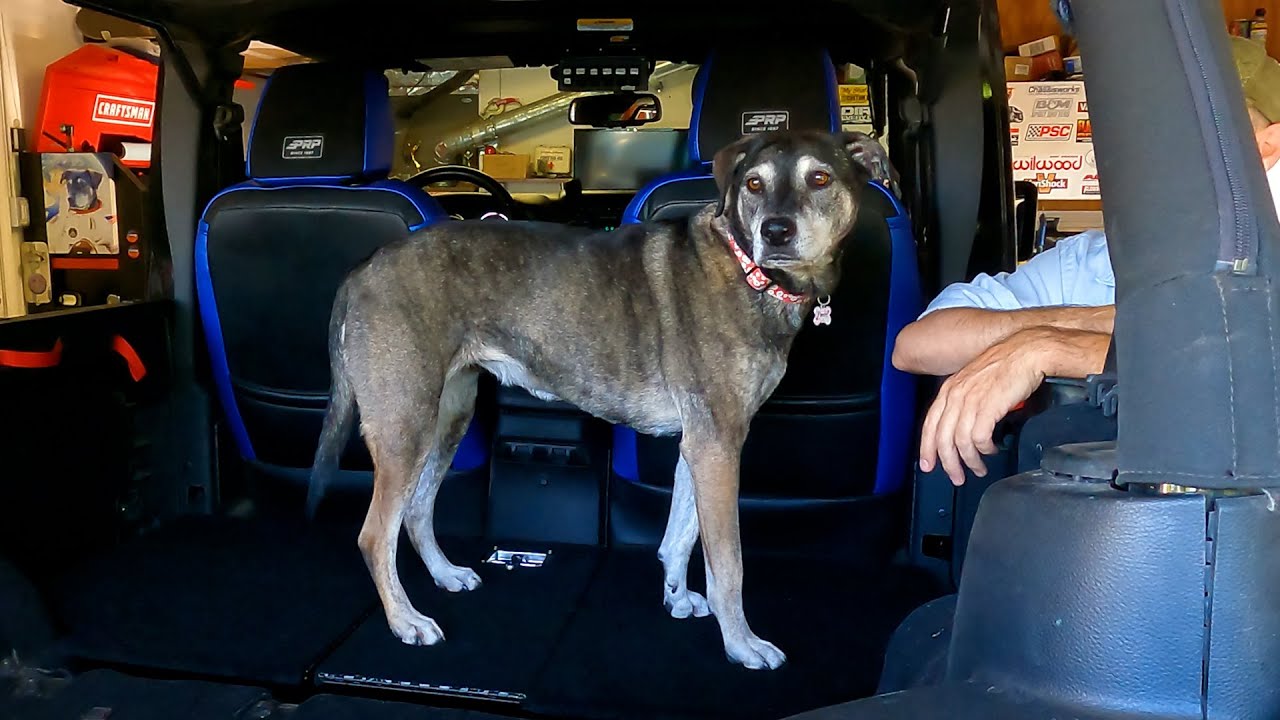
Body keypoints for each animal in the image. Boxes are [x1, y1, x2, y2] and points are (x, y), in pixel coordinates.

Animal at [308, 127, 896, 666]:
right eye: (754, 183)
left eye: (819, 179)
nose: (775, 232)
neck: (747, 269)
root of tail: (362, 270)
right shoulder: (720, 443)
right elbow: (728, 562)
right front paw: (741, 644)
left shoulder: (702, 444)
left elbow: (679, 533)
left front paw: (677, 598)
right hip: (404, 423)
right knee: (374, 535)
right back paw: (405, 619)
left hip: (448, 416)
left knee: (416, 510)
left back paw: (445, 574)